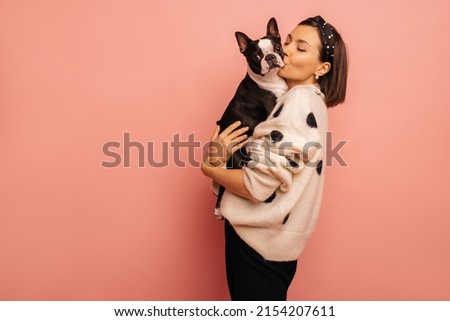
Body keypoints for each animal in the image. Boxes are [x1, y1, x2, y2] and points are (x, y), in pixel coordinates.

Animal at [213, 16, 286, 218]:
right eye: (256, 56)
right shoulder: (271, 109)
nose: (270, 57)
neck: (271, 80)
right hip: (239, 161)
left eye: (278, 47)